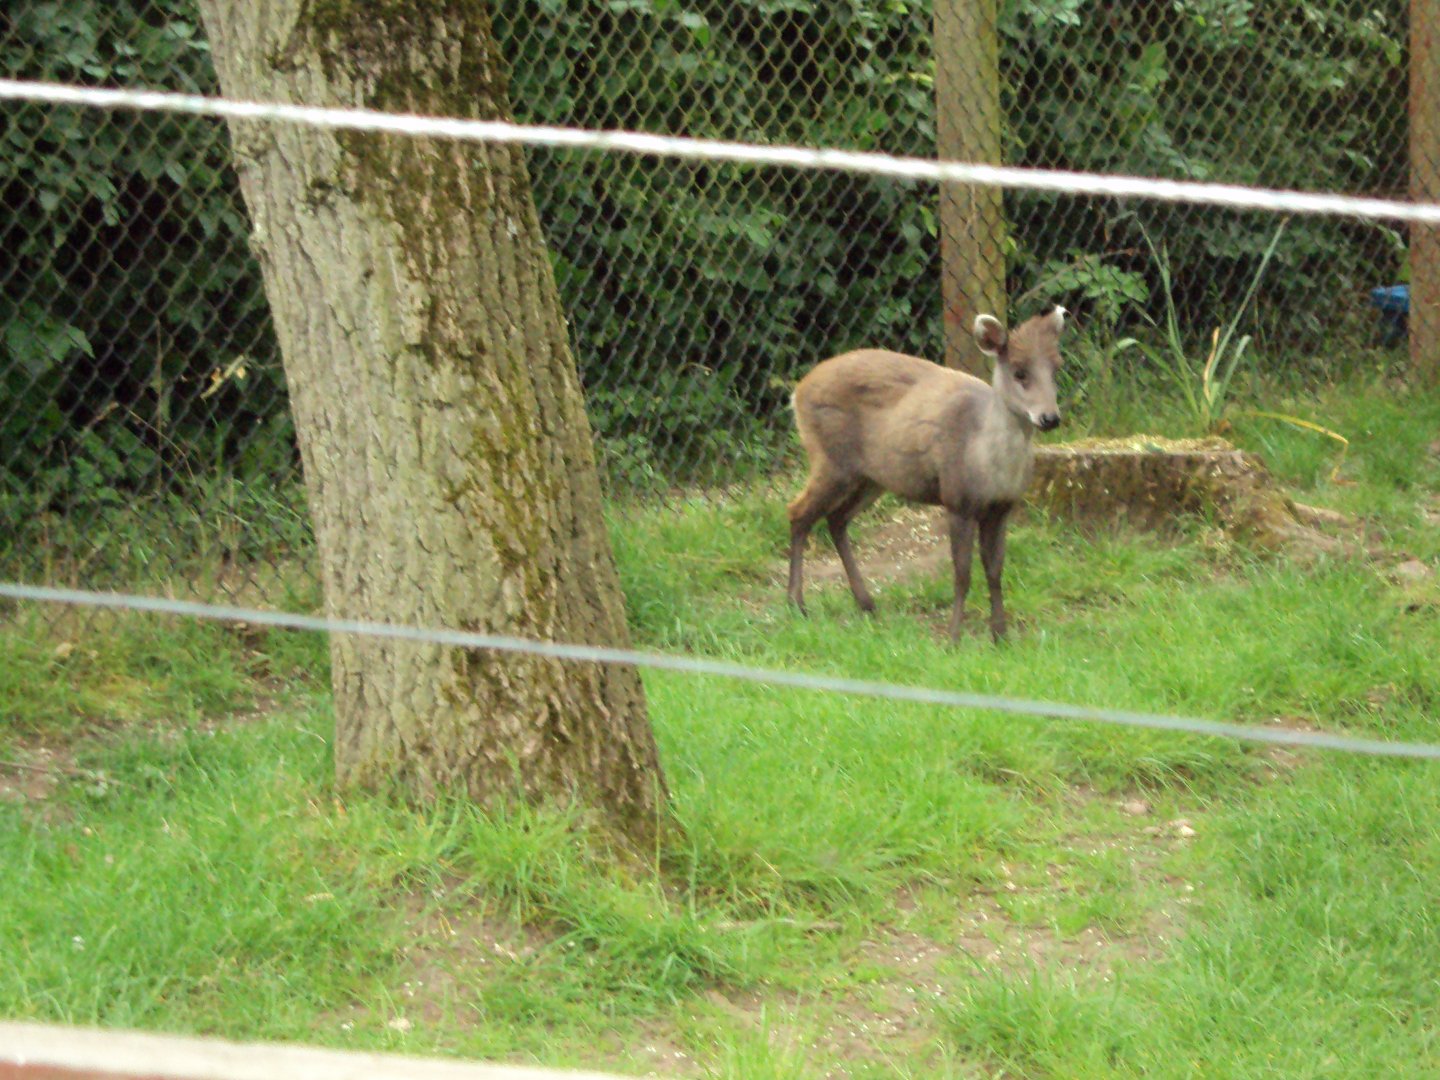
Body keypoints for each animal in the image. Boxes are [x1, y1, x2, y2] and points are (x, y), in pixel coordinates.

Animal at [785, 305, 1067, 643]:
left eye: (1056, 370)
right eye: (1019, 372)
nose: (1050, 417)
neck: (989, 462)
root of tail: (798, 391)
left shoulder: (1002, 507)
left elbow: (995, 570)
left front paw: (1000, 636)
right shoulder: (958, 500)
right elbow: (962, 573)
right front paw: (954, 638)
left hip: (871, 477)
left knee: (836, 519)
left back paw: (866, 603)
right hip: (830, 460)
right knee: (797, 512)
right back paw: (797, 604)